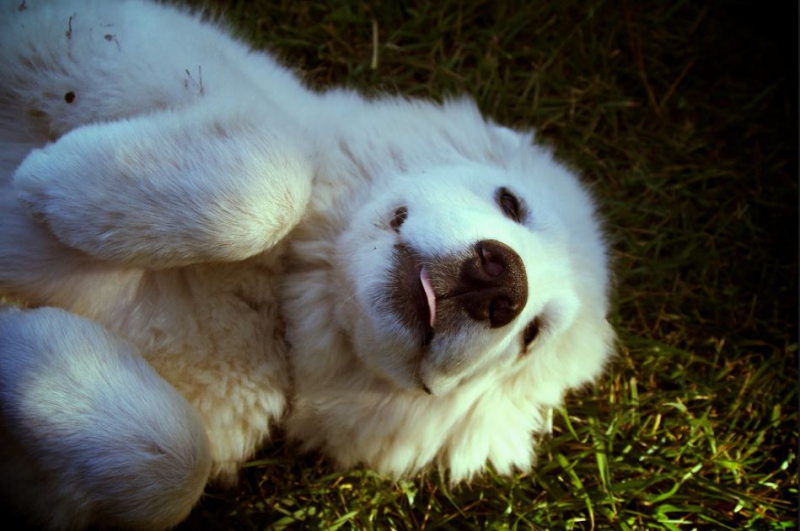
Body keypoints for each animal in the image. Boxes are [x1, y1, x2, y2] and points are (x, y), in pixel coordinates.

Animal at [0, 1, 616, 528]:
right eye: (512, 203)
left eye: (531, 336)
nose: (502, 284)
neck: (280, 290)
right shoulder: (101, 39)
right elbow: (276, 176)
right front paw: (52, 183)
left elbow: (173, 468)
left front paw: (37, 351)